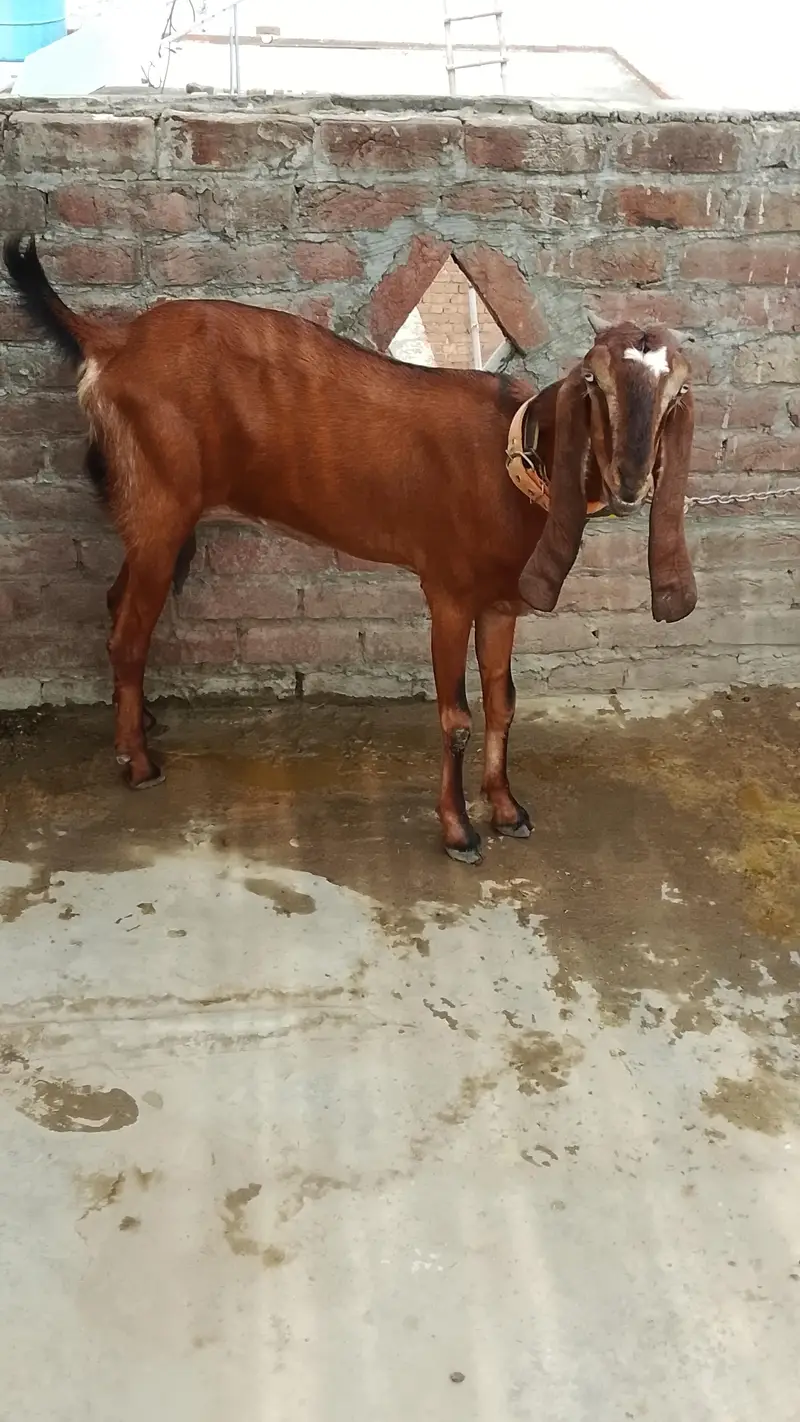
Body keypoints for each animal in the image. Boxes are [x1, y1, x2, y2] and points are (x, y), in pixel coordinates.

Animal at [2, 234, 696, 865]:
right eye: (595, 383)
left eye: (676, 394)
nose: (631, 481)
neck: (509, 459)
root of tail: (110, 341)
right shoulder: (447, 590)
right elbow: (457, 718)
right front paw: (459, 832)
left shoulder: (501, 603)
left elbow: (503, 704)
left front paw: (506, 809)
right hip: (159, 506)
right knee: (129, 632)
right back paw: (139, 764)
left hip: (155, 520)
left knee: (117, 604)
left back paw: (139, 724)